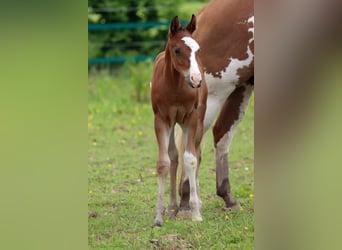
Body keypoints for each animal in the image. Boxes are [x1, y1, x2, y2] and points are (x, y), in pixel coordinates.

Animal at [151, 15, 207, 227]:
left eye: (197, 50)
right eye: (177, 50)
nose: (196, 79)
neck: (175, 86)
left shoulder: (190, 118)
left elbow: (190, 159)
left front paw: (195, 212)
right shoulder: (161, 120)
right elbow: (164, 162)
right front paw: (158, 216)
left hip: (199, 120)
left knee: (197, 153)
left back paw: (197, 202)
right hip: (172, 122)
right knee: (174, 156)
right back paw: (173, 205)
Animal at [176, 0, 254, 211]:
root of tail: (205, 13)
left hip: (242, 86)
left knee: (221, 133)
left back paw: (226, 197)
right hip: (214, 95)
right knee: (193, 143)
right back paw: (186, 201)